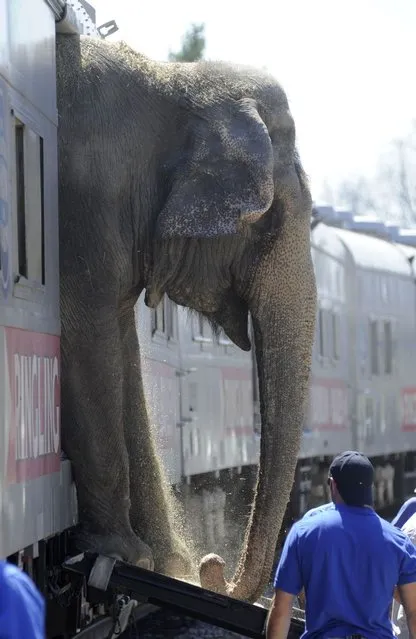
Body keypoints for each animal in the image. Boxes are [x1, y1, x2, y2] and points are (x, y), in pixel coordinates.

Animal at [55, 33, 316, 604]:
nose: (213, 566)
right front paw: (126, 555)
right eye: (269, 220)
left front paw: (163, 561)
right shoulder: (86, 203)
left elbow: (120, 350)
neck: (173, 80)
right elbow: (87, 336)